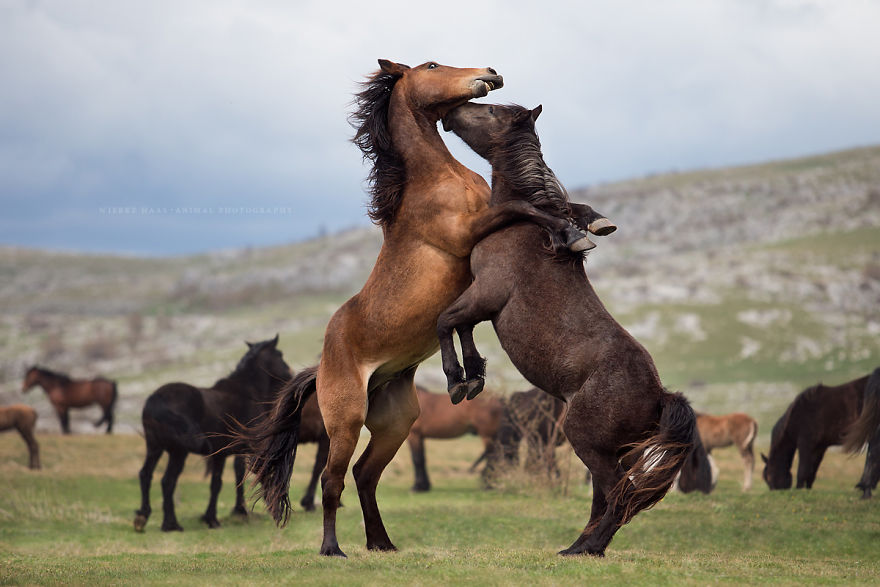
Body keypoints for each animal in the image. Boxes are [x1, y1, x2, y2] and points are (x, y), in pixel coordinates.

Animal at [134, 336, 291, 532]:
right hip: (178, 452)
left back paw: (144, 516)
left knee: (146, 475)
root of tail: (155, 401)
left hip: (155, 447)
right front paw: (231, 514)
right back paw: (171, 523)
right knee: (168, 481)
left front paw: (213, 518)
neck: (248, 393)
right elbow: (241, 476)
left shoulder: (220, 455)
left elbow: (217, 484)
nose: (290, 375)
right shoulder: (244, 449)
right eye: (280, 354)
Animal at [237, 60, 616, 558]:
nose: (490, 72)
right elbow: (523, 206)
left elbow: (549, 206)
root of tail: (321, 366)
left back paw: (381, 543)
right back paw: (333, 549)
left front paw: (594, 221)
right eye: (433, 65)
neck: (438, 179)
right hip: (345, 423)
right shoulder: (466, 231)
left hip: (395, 423)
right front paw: (571, 234)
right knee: (331, 481)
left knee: (365, 475)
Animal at [435, 102, 698, 556]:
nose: (449, 112)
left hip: (588, 443)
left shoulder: (485, 294)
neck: (522, 228)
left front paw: (457, 381)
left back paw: (589, 548)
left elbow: (446, 321)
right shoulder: (480, 303)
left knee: (620, 495)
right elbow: (461, 326)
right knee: (606, 497)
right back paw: (578, 546)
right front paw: (474, 375)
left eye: (490, 110)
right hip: (610, 451)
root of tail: (660, 397)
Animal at [762, 368, 880, 498]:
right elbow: (811, 472)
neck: (798, 416)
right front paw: (808, 490)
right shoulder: (819, 448)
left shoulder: (805, 445)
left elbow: (802, 471)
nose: (775, 493)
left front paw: (799, 489)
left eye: (769, 477)